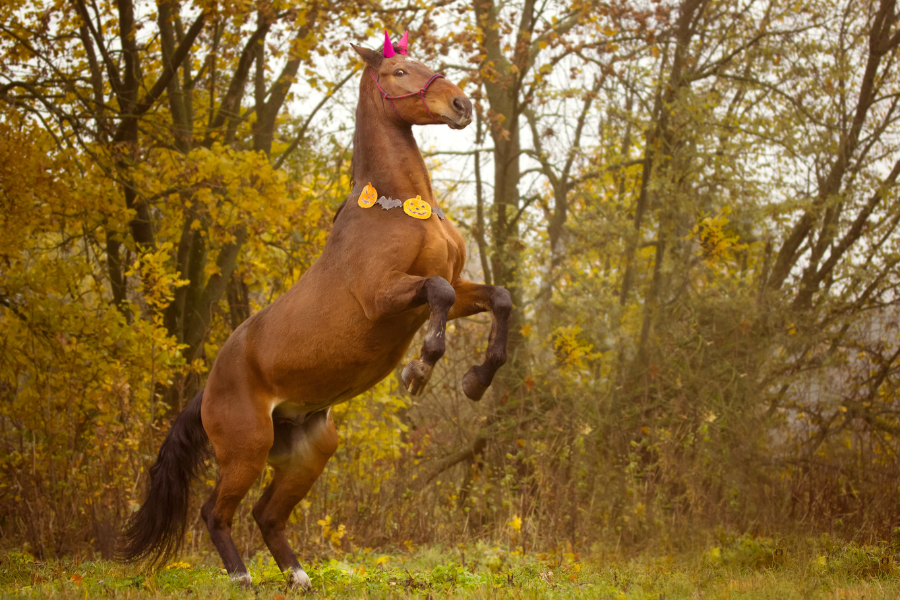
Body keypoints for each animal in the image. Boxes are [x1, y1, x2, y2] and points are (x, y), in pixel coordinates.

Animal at [118, 31, 511, 588]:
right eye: (399, 72)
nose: (461, 106)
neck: (400, 209)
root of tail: (207, 390)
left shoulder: (456, 287)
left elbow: (496, 298)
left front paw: (476, 380)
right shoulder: (383, 297)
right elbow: (438, 292)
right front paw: (418, 371)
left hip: (310, 452)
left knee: (266, 514)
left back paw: (298, 577)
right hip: (246, 449)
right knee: (215, 512)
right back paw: (243, 579)